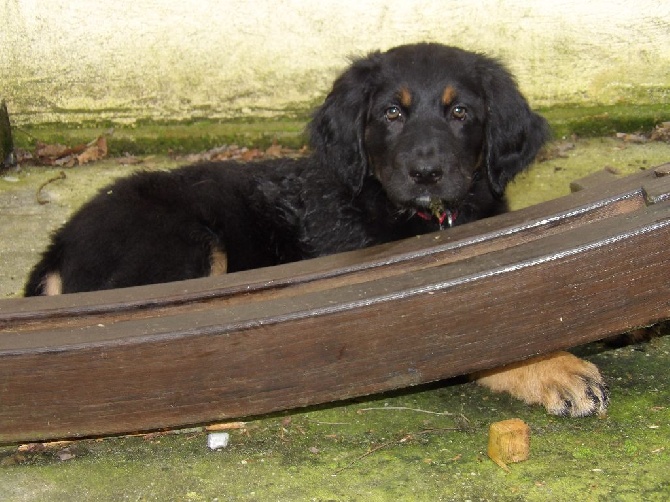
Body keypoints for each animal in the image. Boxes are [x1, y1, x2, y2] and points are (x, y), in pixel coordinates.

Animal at [26, 44, 612, 416]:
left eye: (461, 112)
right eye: (391, 113)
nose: (426, 172)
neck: (421, 216)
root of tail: (58, 243)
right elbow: (481, 340)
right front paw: (554, 370)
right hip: (186, 247)